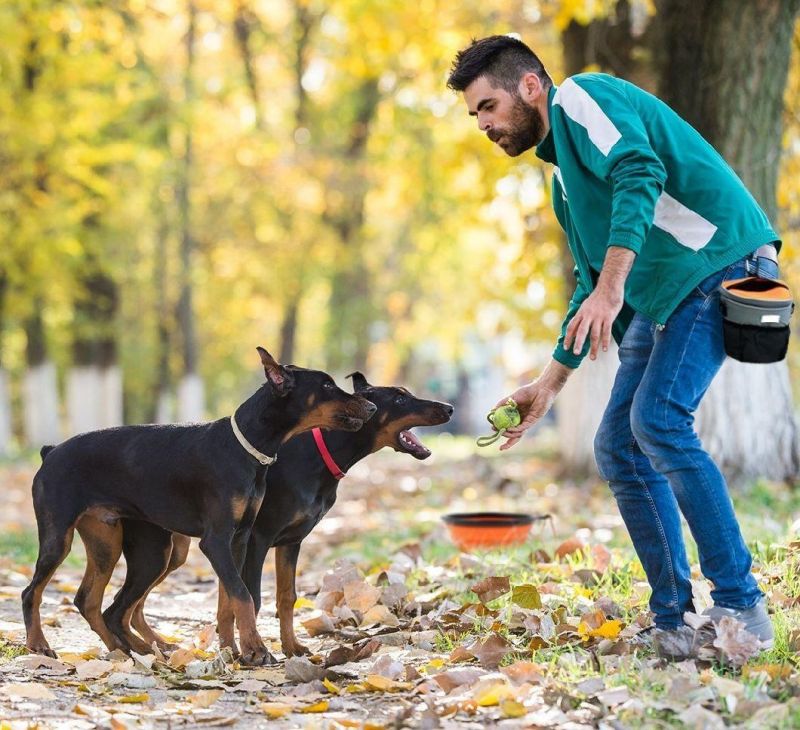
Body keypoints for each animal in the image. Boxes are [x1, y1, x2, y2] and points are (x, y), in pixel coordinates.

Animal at [23, 344, 376, 664]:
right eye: (326, 385)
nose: (371, 405)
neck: (245, 447)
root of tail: (50, 452)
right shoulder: (217, 540)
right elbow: (243, 595)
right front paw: (257, 650)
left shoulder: (239, 539)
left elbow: (228, 600)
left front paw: (235, 651)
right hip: (62, 537)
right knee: (34, 592)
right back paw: (41, 645)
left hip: (108, 541)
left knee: (90, 601)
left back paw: (128, 652)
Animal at [76, 372, 450, 656]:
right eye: (399, 399)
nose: (448, 408)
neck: (319, 454)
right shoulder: (258, 538)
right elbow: (250, 597)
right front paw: (251, 650)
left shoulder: (290, 542)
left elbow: (283, 598)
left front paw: (289, 647)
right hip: (155, 548)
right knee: (122, 604)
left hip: (171, 551)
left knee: (131, 605)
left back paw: (155, 645)